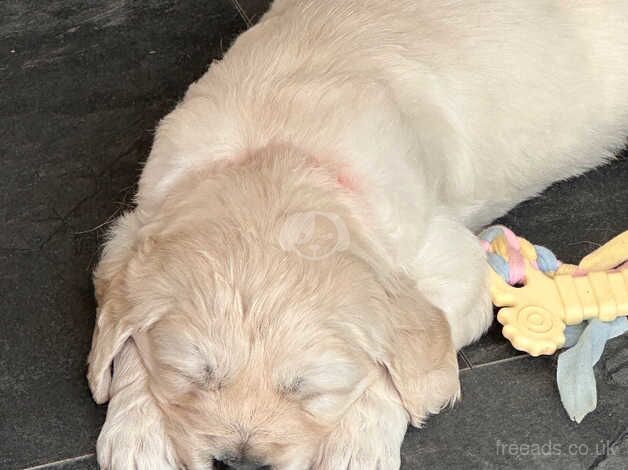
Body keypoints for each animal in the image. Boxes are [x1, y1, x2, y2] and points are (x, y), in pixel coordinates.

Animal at [87, 0, 628, 470]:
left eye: (311, 392)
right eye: (192, 378)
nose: (240, 466)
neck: (277, 150)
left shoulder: (454, 265)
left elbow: (400, 365)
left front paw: (357, 444)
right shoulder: (136, 223)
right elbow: (126, 342)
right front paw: (136, 432)